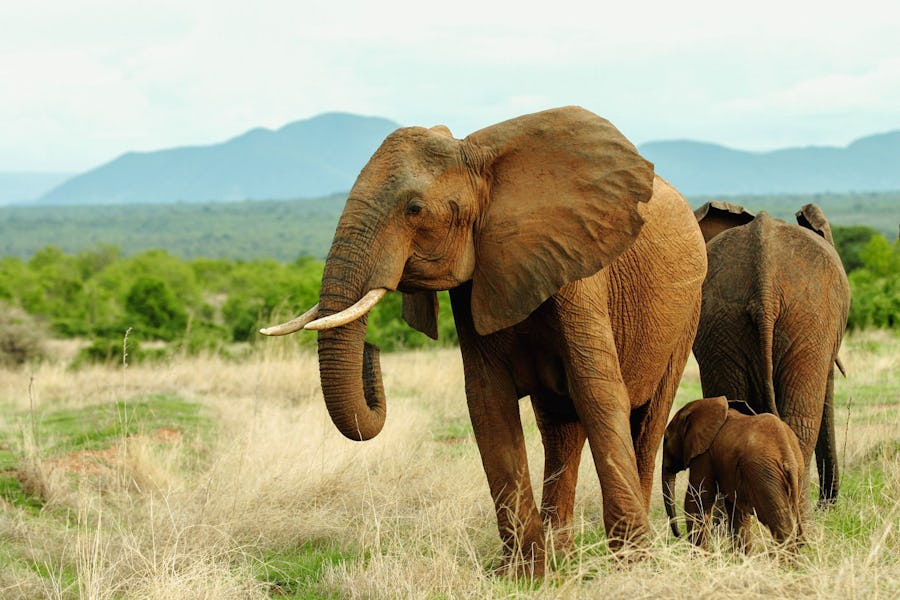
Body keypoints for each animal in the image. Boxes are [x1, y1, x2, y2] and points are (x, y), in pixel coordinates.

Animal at [256, 108, 708, 576]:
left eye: (414, 209)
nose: (373, 351)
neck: (483, 162)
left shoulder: (580, 269)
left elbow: (597, 392)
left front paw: (632, 568)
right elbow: (489, 403)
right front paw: (526, 576)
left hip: (688, 310)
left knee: (648, 420)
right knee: (559, 428)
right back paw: (562, 556)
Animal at [656, 396, 804, 552]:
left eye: (666, 438)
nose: (678, 536)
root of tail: (788, 455)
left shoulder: (705, 455)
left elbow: (697, 500)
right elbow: (737, 511)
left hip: (765, 475)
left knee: (779, 522)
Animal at [692, 202, 848, 510]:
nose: (829, 504)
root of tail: (764, 286)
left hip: (722, 324)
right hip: (810, 322)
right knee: (800, 427)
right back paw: (802, 522)